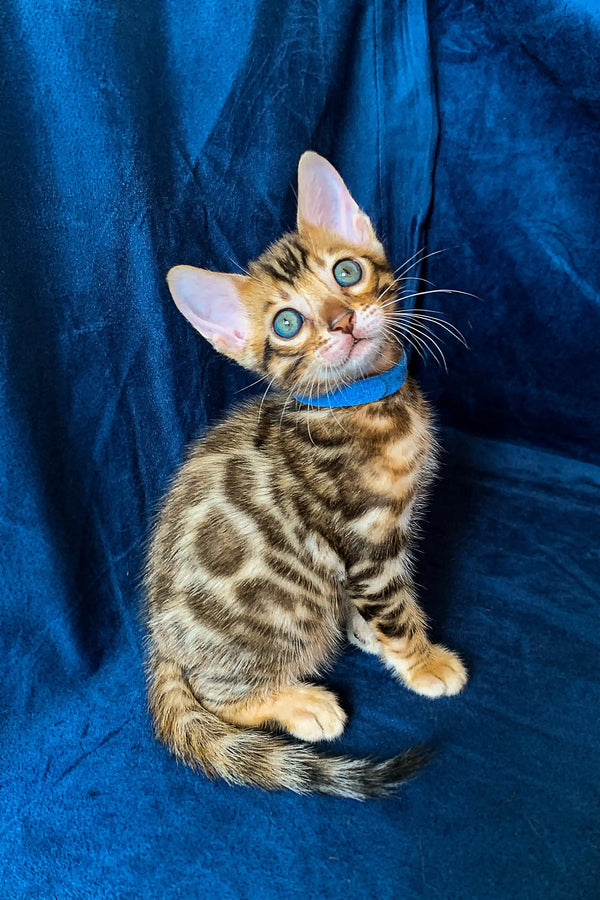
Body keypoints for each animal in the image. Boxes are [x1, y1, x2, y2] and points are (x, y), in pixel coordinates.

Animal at [146, 151, 468, 800]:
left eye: (347, 272)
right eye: (289, 324)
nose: (342, 320)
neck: (361, 403)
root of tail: (161, 644)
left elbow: (380, 605)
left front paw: (372, 635)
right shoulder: (366, 539)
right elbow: (394, 604)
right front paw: (422, 659)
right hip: (284, 618)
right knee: (216, 696)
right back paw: (300, 703)